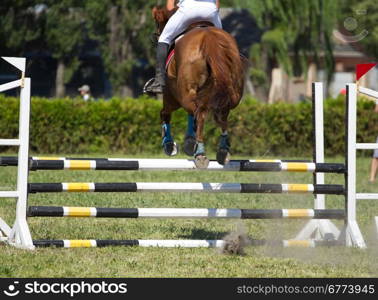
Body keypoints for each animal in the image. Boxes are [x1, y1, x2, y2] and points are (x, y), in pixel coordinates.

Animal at [152, 6, 247, 169]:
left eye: (159, 25)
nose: (156, 36)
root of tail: (209, 37)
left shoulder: (172, 96)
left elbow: (166, 114)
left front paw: (171, 145)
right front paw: (190, 142)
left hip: (182, 95)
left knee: (199, 113)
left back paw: (200, 153)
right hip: (233, 92)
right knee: (221, 115)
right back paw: (223, 150)